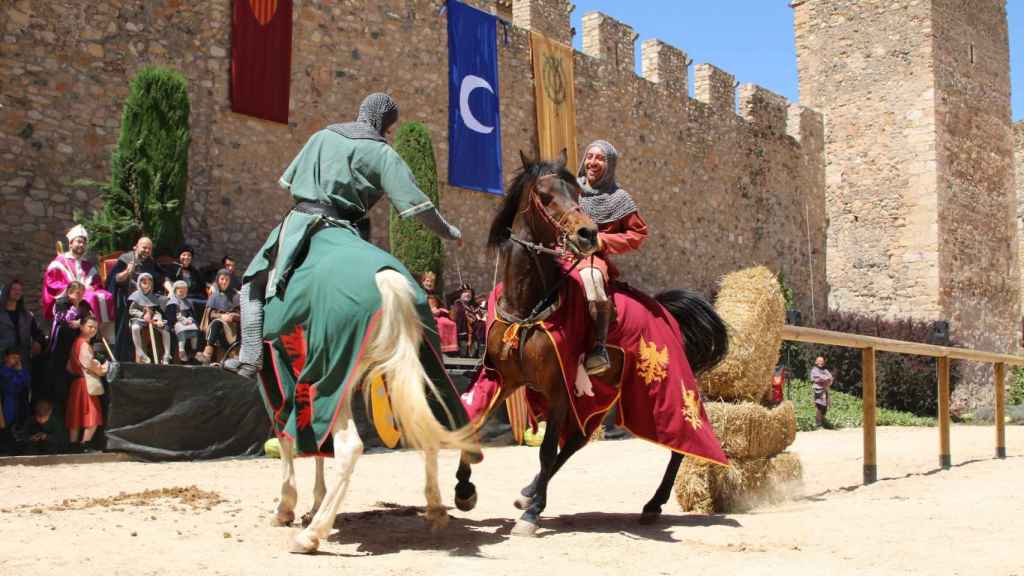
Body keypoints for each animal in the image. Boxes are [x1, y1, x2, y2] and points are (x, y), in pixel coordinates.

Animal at [454, 151, 729, 532]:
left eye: (576, 194)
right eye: (545, 196)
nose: (587, 234)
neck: (528, 303)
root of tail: (665, 311)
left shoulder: (557, 387)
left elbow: (546, 449)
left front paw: (530, 515)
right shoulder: (504, 378)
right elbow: (475, 424)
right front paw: (464, 490)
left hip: (670, 388)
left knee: (679, 443)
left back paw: (653, 502)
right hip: (600, 392)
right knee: (578, 440)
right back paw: (530, 491)